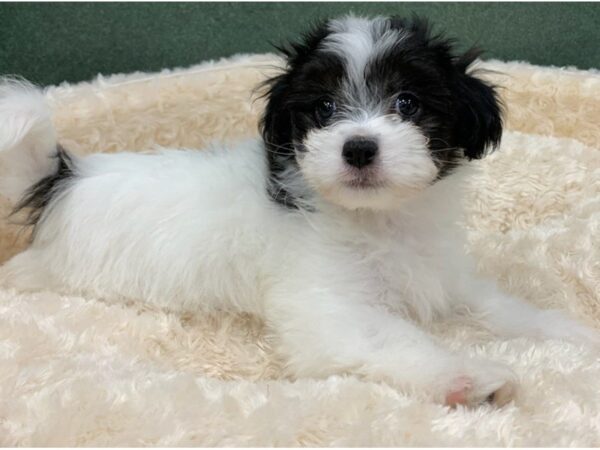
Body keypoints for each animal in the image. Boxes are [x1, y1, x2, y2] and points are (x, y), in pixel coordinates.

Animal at [0, 15, 596, 406]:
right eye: (325, 108)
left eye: (407, 103)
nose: (358, 148)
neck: (378, 220)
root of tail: (66, 179)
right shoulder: (328, 307)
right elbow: (393, 338)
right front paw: (467, 377)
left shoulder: (442, 276)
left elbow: (502, 308)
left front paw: (572, 334)